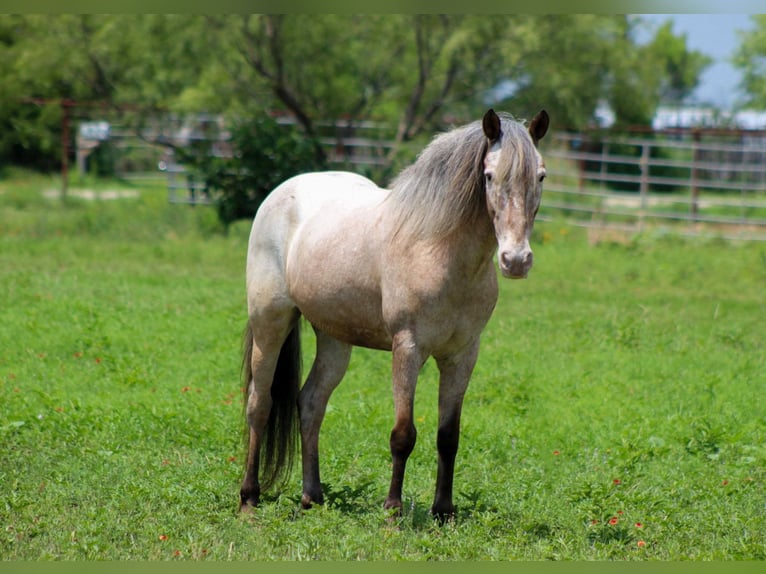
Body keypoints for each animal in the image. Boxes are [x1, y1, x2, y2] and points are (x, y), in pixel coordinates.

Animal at [239, 108, 549, 521]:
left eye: (541, 176)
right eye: (488, 175)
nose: (516, 260)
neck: (439, 251)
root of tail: (280, 193)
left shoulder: (462, 355)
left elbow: (448, 436)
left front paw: (443, 511)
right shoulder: (408, 349)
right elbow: (403, 434)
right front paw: (393, 509)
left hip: (334, 339)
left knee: (311, 403)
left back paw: (312, 496)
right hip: (270, 322)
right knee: (260, 404)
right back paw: (249, 497)